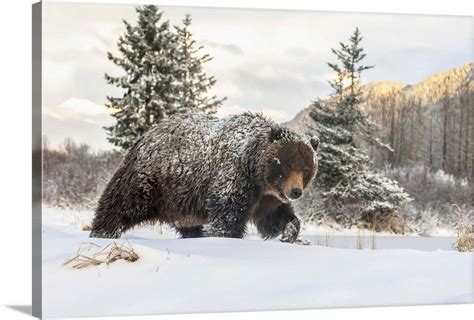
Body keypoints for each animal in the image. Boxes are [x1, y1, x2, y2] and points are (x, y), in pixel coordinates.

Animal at [89, 112, 318, 242]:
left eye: (306, 168)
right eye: (287, 164)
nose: (296, 191)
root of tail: (144, 136)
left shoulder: (266, 197)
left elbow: (274, 217)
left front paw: (289, 232)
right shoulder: (234, 179)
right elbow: (227, 217)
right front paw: (222, 236)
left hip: (180, 204)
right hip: (150, 181)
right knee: (120, 205)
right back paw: (103, 232)